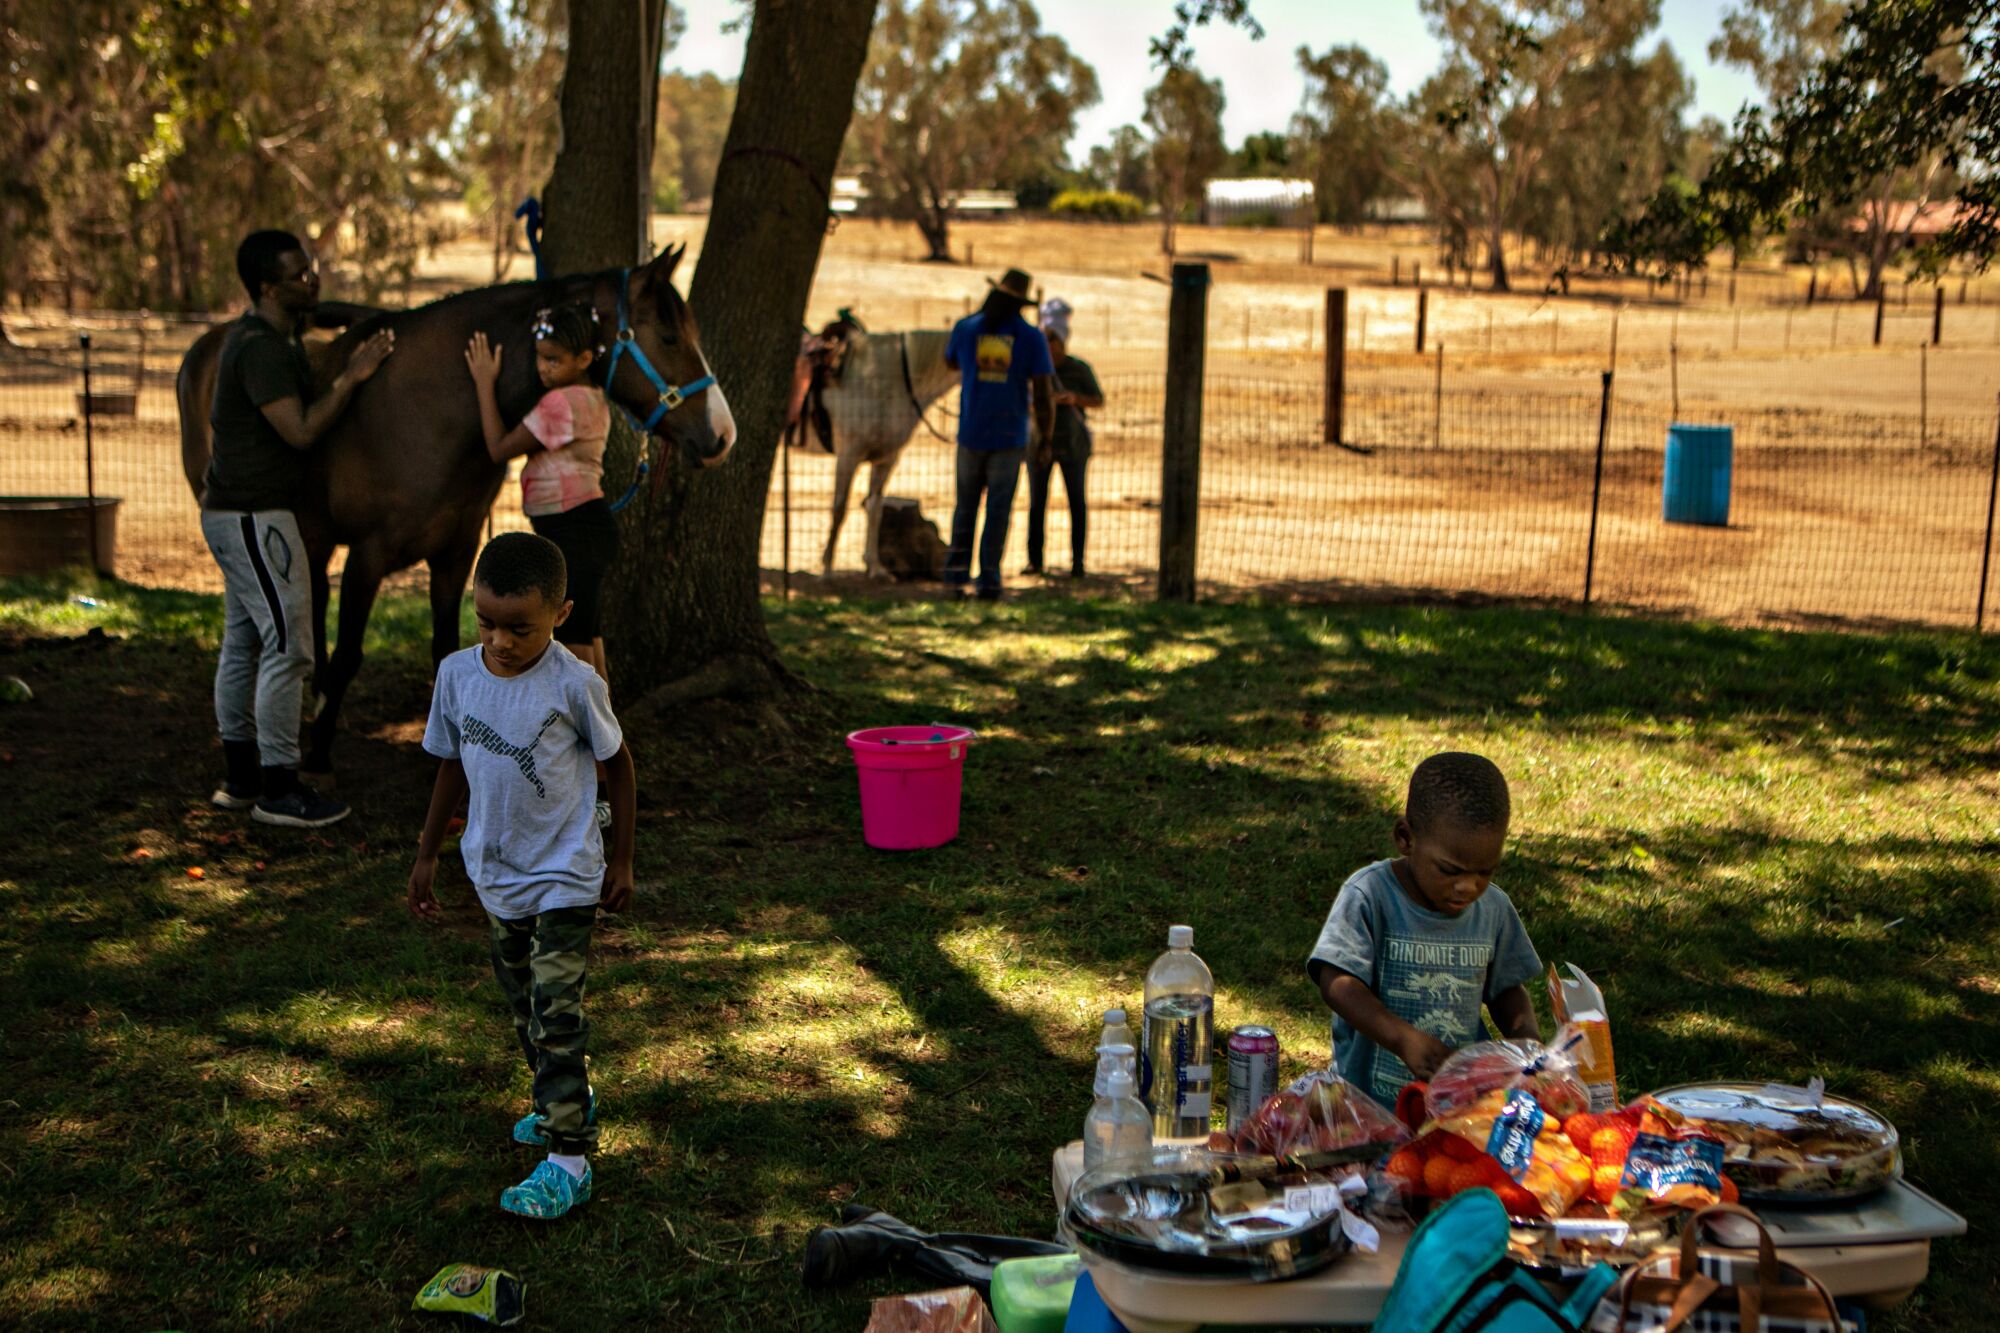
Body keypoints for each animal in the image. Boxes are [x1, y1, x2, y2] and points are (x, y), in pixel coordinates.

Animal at [180, 244, 736, 772]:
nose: (722, 435)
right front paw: (319, 758)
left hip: (310, 537)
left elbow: (445, 648)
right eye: (668, 337)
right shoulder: (369, 555)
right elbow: (350, 653)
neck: (432, 407)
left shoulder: (457, 550)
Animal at [816, 326, 964, 576]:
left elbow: (875, 508)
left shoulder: (887, 458)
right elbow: (839, 509)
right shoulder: (848, 453)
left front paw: (874, 566)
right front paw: (826, 568)